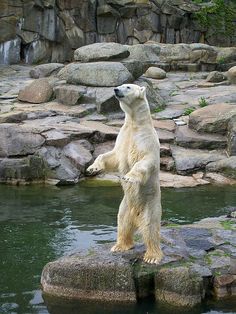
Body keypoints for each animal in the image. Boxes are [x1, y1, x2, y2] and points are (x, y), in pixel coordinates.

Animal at [86, 84, 162, 264]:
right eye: (121, 85)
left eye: (128, 87)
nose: (115, 89)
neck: (135, 124)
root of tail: (136, 214)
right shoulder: (123, 137)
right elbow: (111, 156)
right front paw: (92, 168)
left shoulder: (146, 141)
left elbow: (145, 161)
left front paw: (129, 177)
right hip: (125, 206)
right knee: (123, 223)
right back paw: (120, 245)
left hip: (150, 205)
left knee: (150, 227)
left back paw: (152, 256)